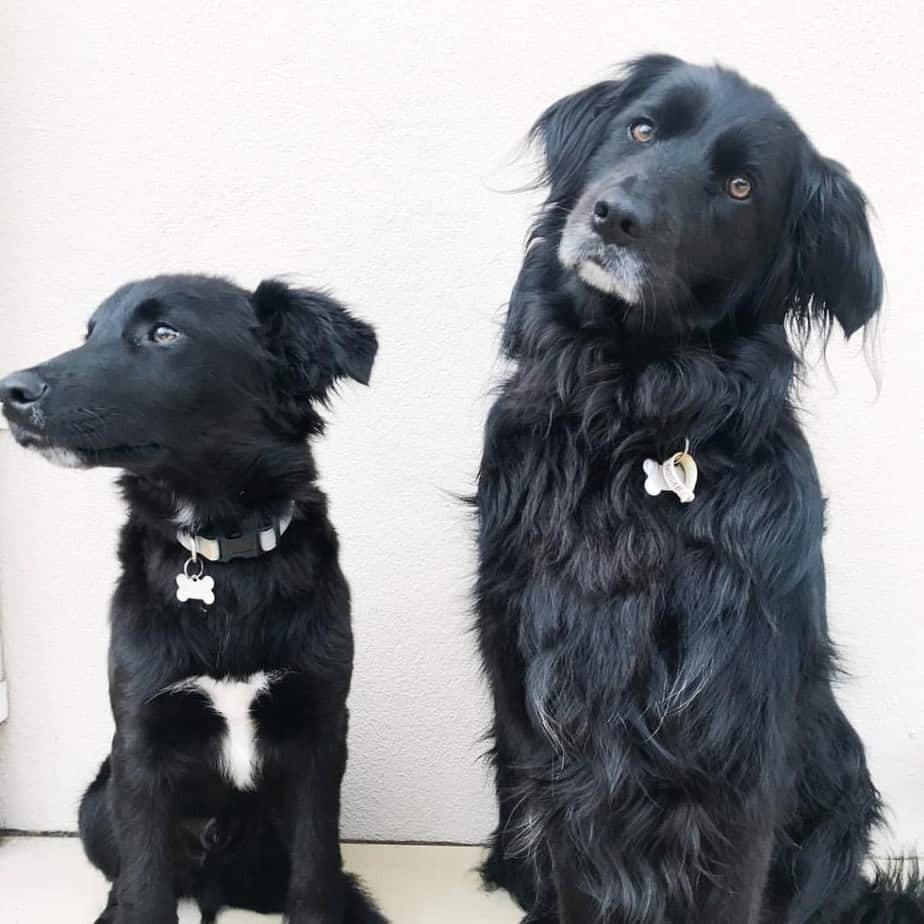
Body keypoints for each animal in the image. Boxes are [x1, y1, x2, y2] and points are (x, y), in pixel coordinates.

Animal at [0, 274, 386, 924]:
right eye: (90, 333)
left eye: (164, 333)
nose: (10, 393)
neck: (220, 548)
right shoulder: (142, 741)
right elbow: (145, 884)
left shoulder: (319, 733)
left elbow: (314, 875)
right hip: (96, 804)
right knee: (127, 876)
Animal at [472, 57, 920, 924]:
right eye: (643, 127)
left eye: (741, 188)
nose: (615, 216)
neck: (634, 417)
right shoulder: (557, 736)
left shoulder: (737, 743)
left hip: (841, 783)